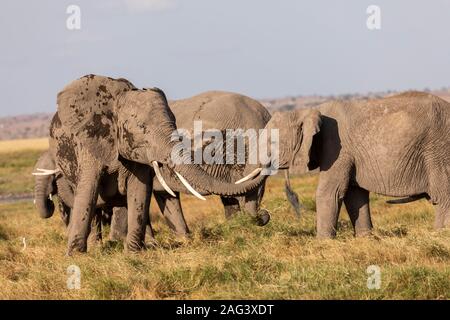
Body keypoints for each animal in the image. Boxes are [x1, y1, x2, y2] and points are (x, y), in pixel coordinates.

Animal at [51, 74, 268, 254]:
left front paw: (134, 253)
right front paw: (77, 256)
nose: (265, 215)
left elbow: (140, 192)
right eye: (141, 127)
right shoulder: (91, 141)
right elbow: (89, 189)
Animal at [270, 91, 450, 236]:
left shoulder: (337, 149)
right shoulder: (349, 155)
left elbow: (330, 192)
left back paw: (439, 234)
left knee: (443, 197)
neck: (307, 111)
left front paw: (322, 243)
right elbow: (355, 195)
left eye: (272, 142)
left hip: (438, 152)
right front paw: (366, 239)